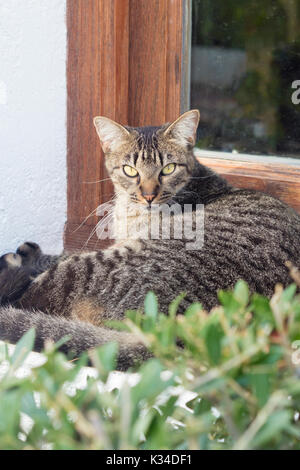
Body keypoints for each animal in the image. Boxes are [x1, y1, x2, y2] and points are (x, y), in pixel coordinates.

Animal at [0, 109, 300, 368]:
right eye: (130, 170)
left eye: (168, 168)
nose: (148, 195)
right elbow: (61, 252)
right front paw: (30, 254)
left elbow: (61, 260)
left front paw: (24, 259)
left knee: (28, 298)